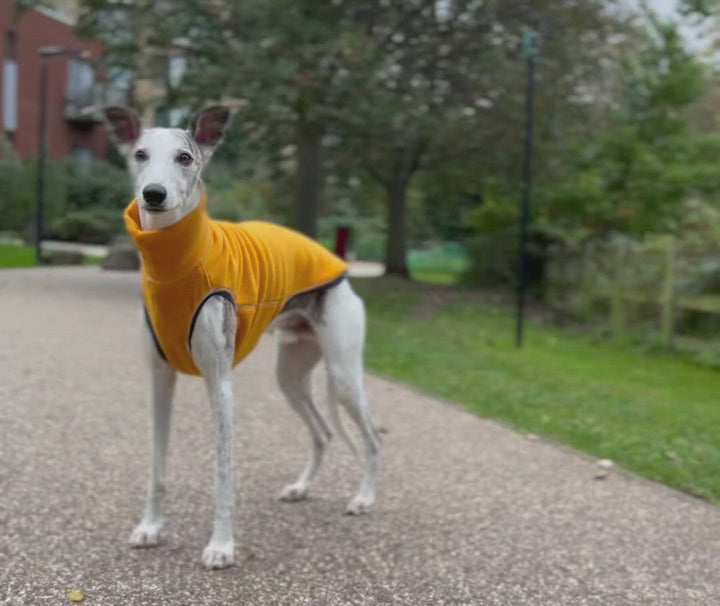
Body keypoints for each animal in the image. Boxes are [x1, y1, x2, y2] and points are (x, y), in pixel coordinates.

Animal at [103, 105, 380, 568]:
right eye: (140, 154)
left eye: (185, 157)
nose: (154, 195)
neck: (175, 265)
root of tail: (337, 264)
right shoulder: (160, 381)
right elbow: (157, 465)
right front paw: (151, 527)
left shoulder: (220, 385)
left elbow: (223, 474)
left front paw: (221, 546)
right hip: (290, 377)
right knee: (322, 432)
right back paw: (301, 487)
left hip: (343, 374)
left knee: (373, 438)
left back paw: (364, 498)